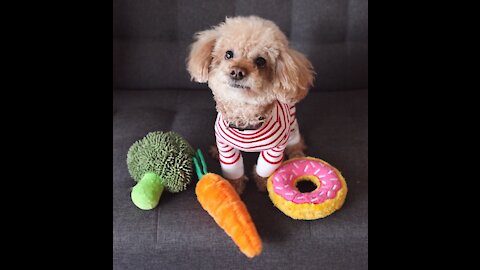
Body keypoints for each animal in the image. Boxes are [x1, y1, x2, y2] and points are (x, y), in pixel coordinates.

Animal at [187, 15, 316, 194]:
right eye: (228, 54)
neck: (245, 116)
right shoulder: (226, 146)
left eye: (261, 61)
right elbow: (233, 170)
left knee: (296, 141)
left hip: (291, 127)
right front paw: (233, 187)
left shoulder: (274, 149)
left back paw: (297, 153)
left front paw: (263, 183)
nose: (237, 72)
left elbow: (264, 168)